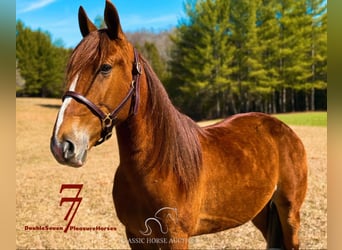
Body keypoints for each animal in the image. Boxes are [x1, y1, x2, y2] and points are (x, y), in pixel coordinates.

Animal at [50, 0, 308, 249]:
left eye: (105, 67)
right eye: (70, 68)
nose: (62, 145)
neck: (158, 165)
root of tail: (283, 129)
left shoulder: (176, 237)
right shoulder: (135, 236)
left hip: (289, 213)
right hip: (261, 212)